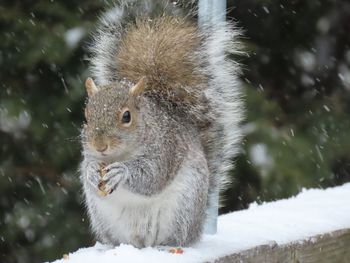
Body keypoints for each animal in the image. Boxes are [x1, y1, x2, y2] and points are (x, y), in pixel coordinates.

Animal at [80, 0, 243, 249]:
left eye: (126, 117)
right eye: (87, 116)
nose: (100, 146)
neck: (120, 154)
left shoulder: (166, 149)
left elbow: (152, 176)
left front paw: (121, 172)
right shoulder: (89, 154)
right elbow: (86, 167)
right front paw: (90, 171)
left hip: (184, 206)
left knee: (176, 237)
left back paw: (168, 245)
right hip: (103, 218)